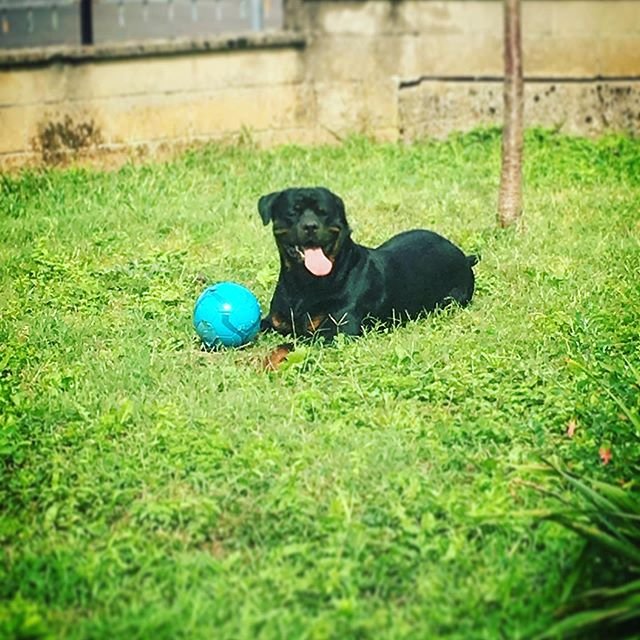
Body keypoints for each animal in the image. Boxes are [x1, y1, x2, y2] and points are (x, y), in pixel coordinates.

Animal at [258, 188, 478, 342]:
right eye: (292, 212)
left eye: (324, 213)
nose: (311, 226)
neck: (302, 284)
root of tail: (464, 256)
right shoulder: (273, 321)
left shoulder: (336, 332)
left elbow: (288, 345)